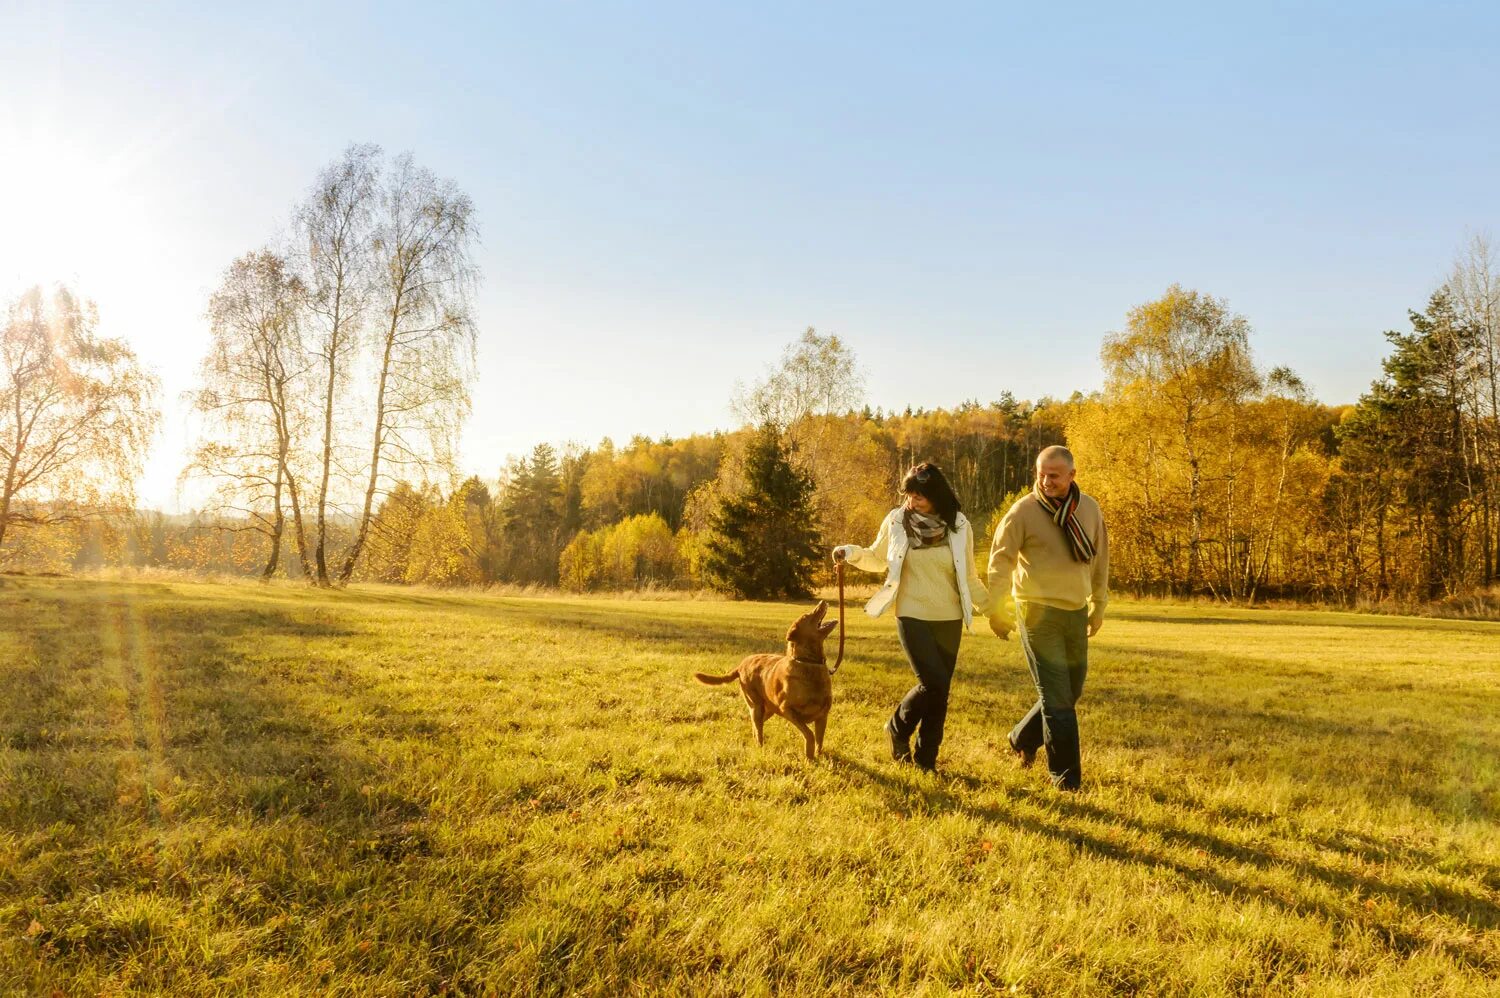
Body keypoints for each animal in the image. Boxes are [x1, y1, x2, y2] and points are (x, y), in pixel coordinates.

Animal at [693, 603, 840, 759]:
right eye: (807, 616)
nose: (822, 602)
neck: (808, 662)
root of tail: (741, 664)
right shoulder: (787, 710)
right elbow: (809, 734)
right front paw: (809, 756)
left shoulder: (823, 715)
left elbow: (819, 739)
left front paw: (818, 756)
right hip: (756, 705)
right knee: (758, 729)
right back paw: (760, 747)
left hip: (768, 708)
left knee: (755, 726)